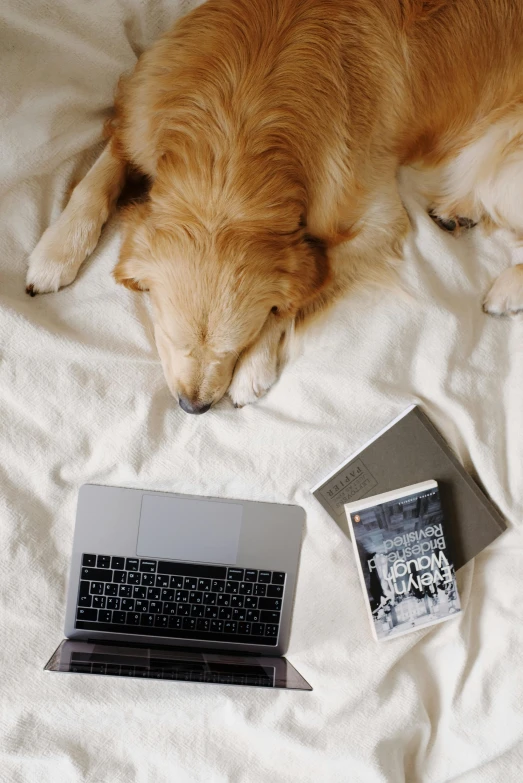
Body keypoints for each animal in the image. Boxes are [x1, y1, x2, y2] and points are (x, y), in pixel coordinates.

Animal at [26, 0, 523, 414]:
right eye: (172, 338)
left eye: (233, 348)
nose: (193, 407)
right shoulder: (139, 119)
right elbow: (96, 180)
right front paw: (54, 253)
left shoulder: (378, 217)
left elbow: (307, 288)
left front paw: (253, 367)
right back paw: (459, 210)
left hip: (506, 164)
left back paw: (506, 290)